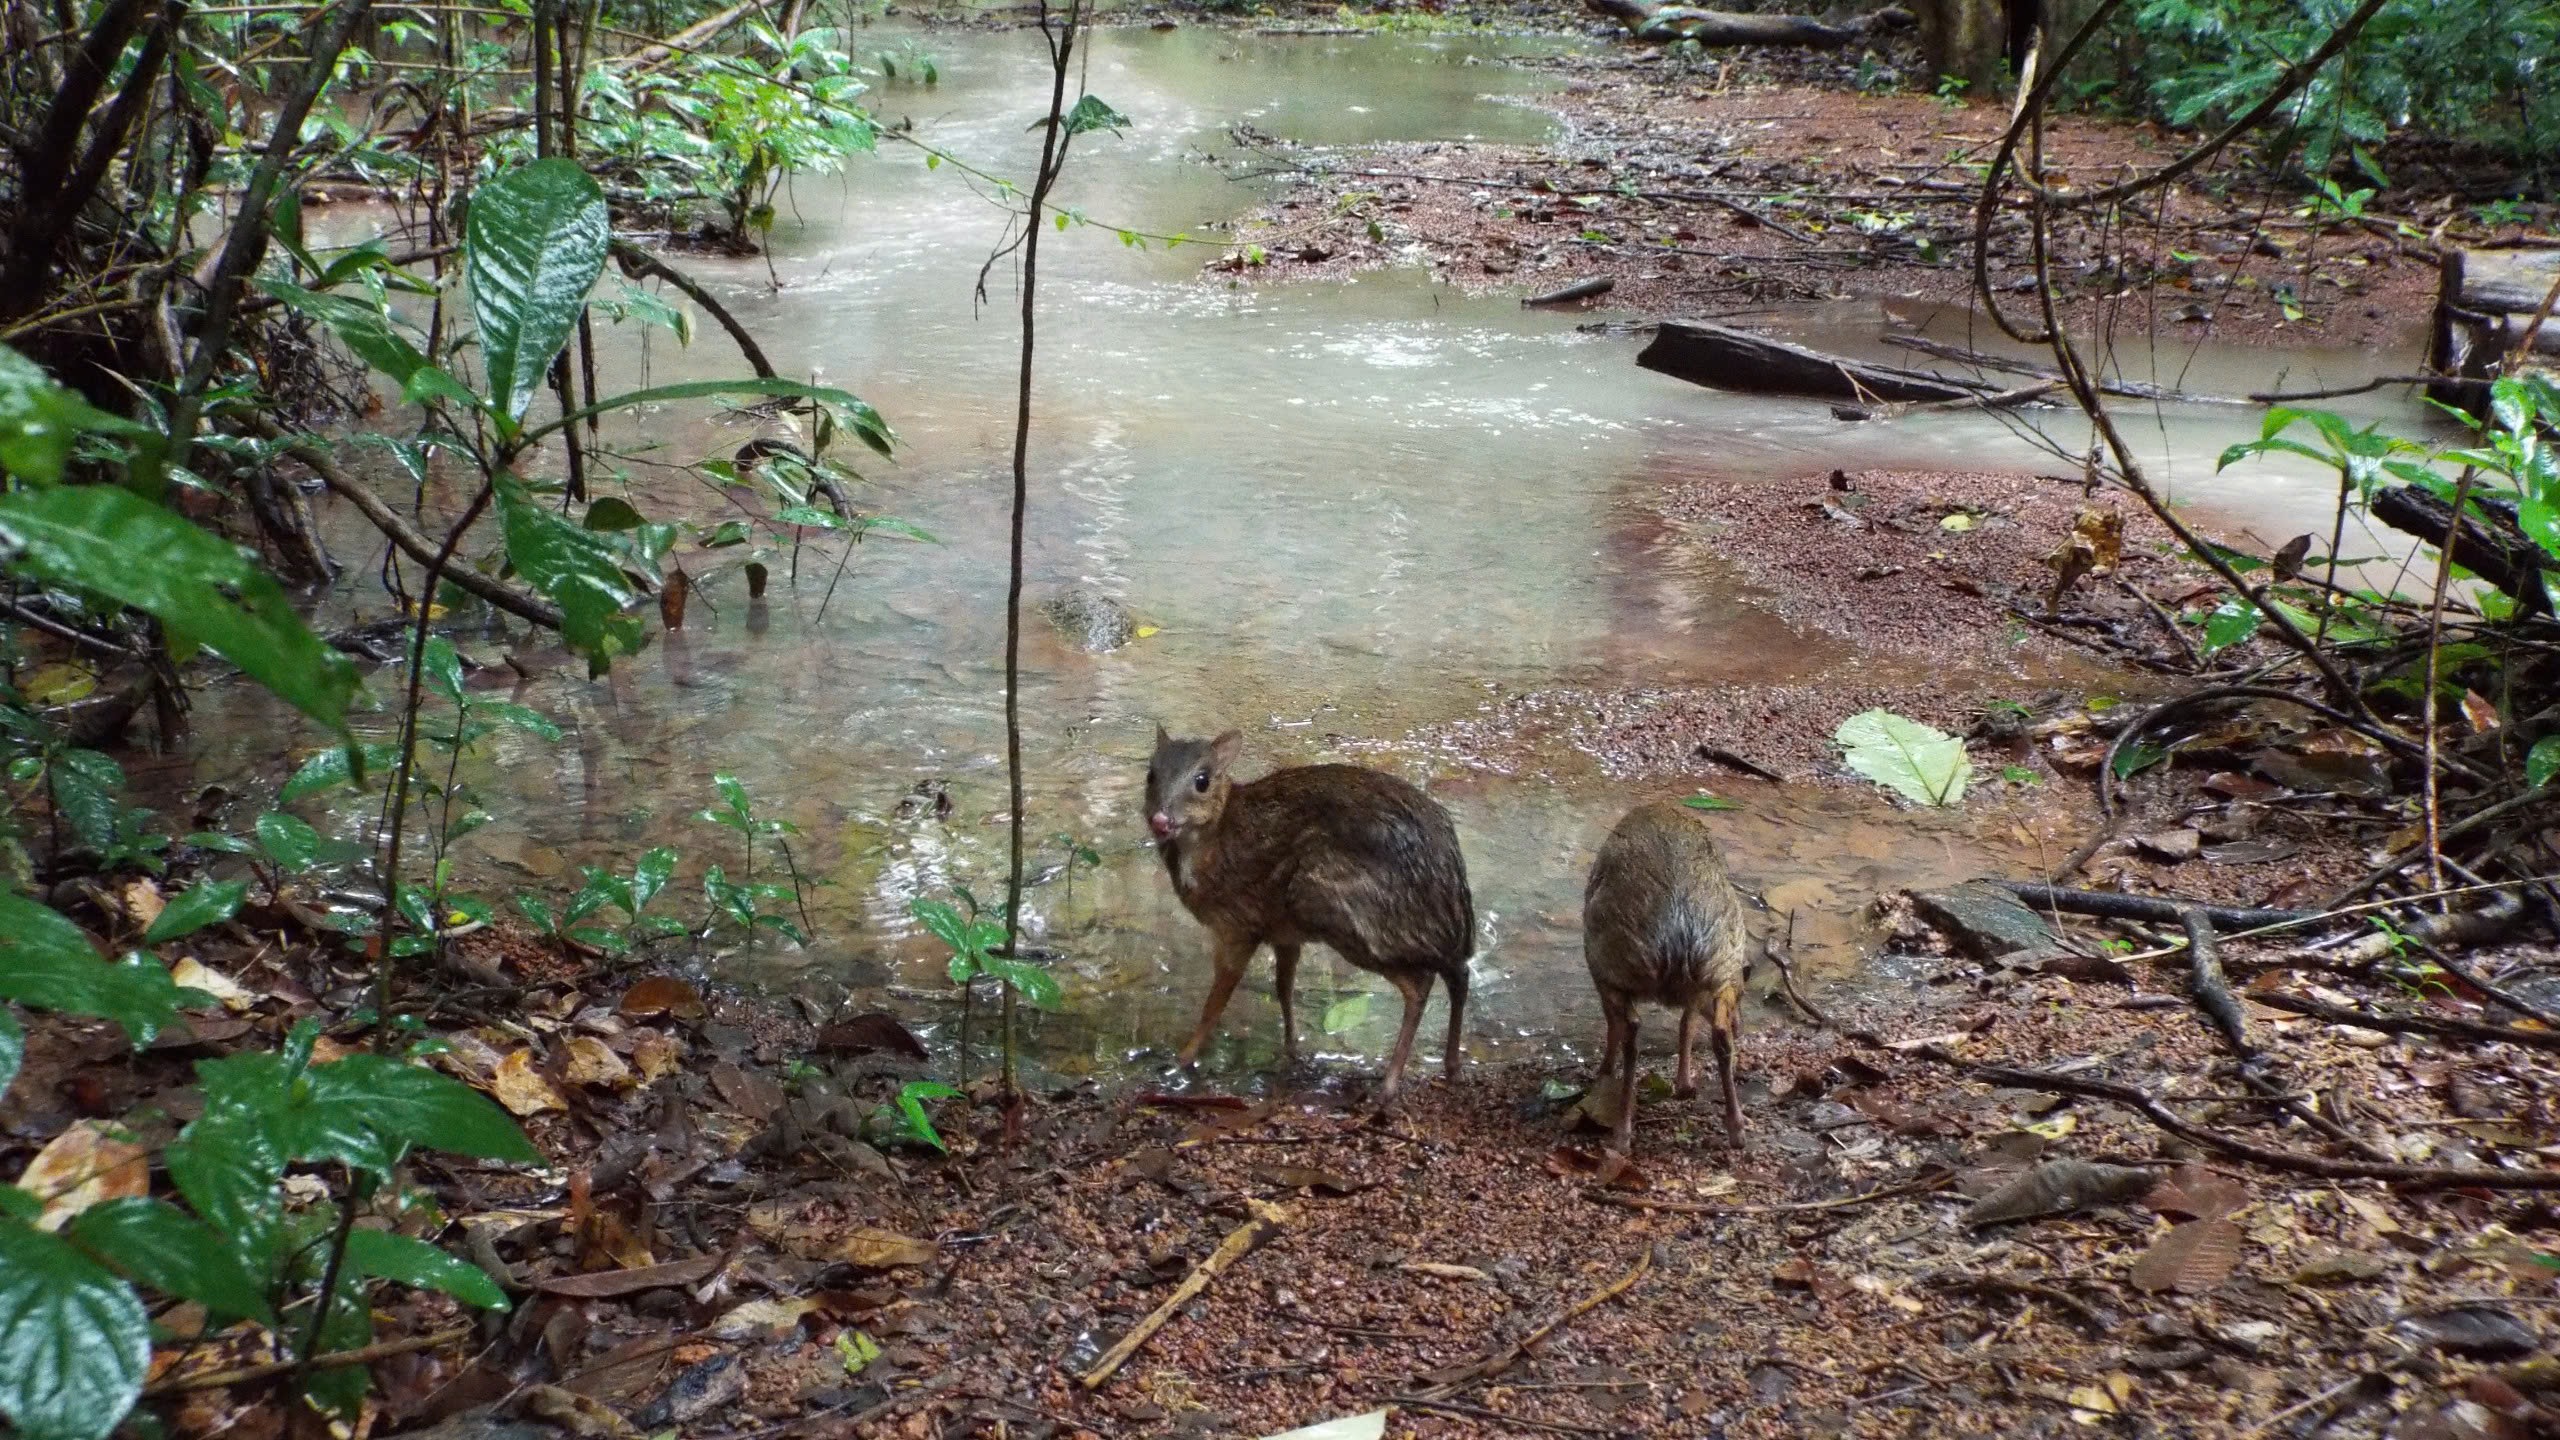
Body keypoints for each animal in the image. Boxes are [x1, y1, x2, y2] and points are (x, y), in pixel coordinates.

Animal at [1146, 722, 1484, 1101]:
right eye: (1150, 774)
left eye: (1202, 780)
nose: (1160, 820)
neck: (1213, 841)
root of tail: (1452, 892)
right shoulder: (1283, 933)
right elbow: (1283, 987)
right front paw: (1292, 1049)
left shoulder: (1238, 926)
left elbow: (1216, 1002)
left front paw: (1181, 1059)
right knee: (1459, 973)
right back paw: (1452, 1066)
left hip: (1335, 910)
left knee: (1420, 984)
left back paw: (1389, 1085)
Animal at [1587, 794, 1751, 1153]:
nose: (1741, 1022)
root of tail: (1677, 931)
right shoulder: (1704, 989)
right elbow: (1687, 1024)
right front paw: (1685, 1084)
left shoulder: (1602, 975)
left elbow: (1615, 1027)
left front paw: (1604, 1072)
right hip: (1719, 966)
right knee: (1717, 1034)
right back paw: (1736, 1127)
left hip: (1613, 967)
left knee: (1630, 1031)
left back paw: (1622, 1130)